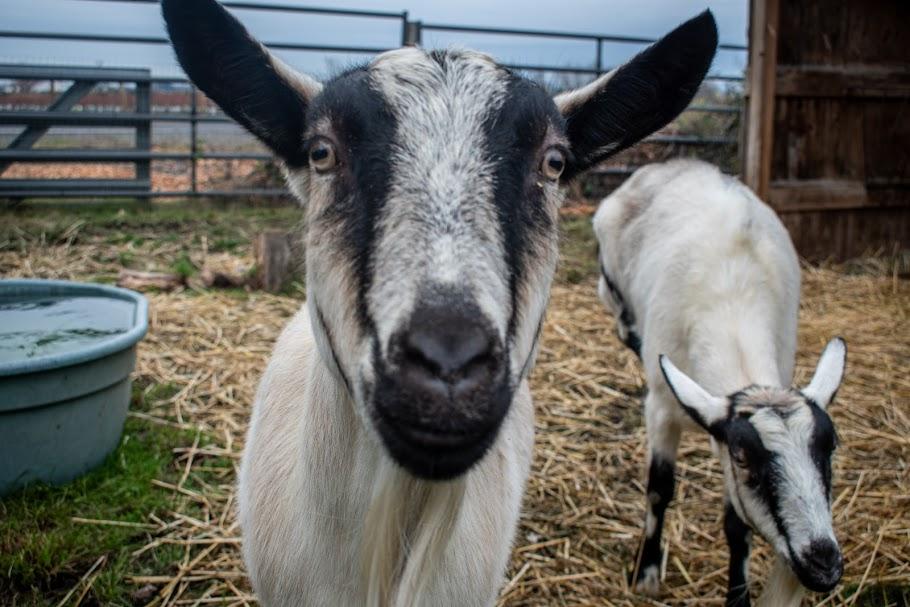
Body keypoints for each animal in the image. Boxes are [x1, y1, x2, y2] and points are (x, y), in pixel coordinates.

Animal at [593, 160, 846, 607]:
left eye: (830, 447)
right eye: (744, 459)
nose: (822, 562)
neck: (733, 298)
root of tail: (672, 165)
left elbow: (737, 525)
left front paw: (737, 595)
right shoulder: (662, 407)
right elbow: (659, 489)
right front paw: (646, 572)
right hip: (610, 283)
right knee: (622, 320)